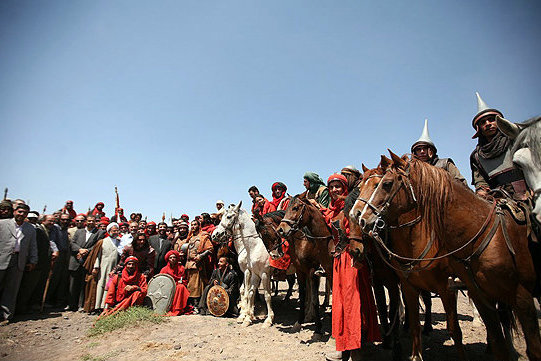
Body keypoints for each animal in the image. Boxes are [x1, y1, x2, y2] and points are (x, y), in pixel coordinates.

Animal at [354, 151, 540, 360]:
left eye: (385, 184)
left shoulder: (449, 288)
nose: (359, 216)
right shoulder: (407, 286)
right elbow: (412, 324)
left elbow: (454, 330)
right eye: (360, 187)